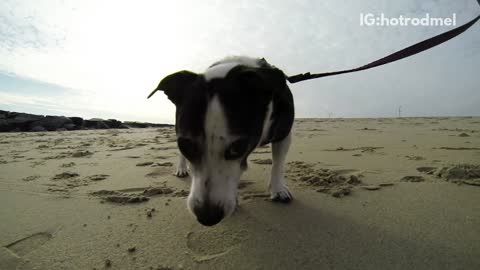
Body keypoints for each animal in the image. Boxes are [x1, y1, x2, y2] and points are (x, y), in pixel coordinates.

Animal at [148, 56, 294, 226]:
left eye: (238, 147)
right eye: (186, 146)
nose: (207, 217)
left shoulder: (284, 135)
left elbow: (278, 164)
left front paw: (278, 189)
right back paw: (182, 168)